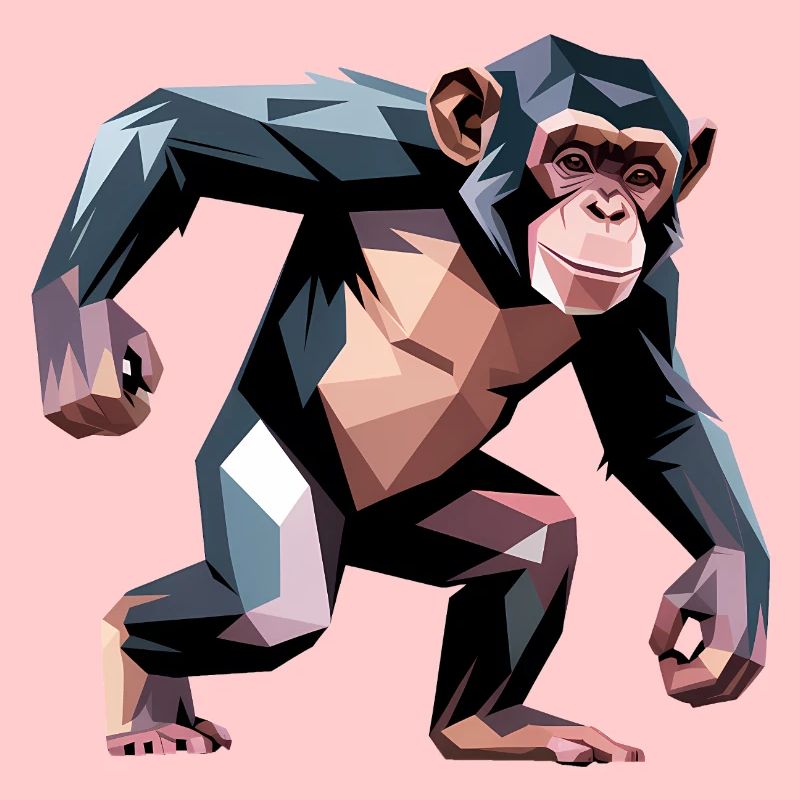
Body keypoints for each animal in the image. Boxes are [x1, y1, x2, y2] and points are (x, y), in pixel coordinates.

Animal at [32, 35, 769, 764]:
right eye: (575, 161)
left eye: (642, 177)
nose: (610, 211)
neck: (495, 252)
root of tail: (361, 535)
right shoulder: (377, 143)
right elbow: (176, 131)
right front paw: (86, 339)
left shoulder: (649, 286)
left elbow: (656, 422)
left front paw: (726, 601)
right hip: (274, 470)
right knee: (271, 614)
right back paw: (136, 677)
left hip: (425, 514)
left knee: (539, 542)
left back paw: (485, 726)